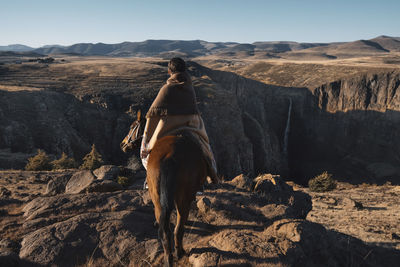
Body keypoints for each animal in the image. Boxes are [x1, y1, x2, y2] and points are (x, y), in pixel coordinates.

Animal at [120, 111, 209, 267]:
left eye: (132, 126)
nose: (123, 144)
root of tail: (169, 156)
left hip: (160, 196)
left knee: (167, 229)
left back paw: (172, 255)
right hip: (181, 198)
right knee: (177, 227)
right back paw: (177, 253)